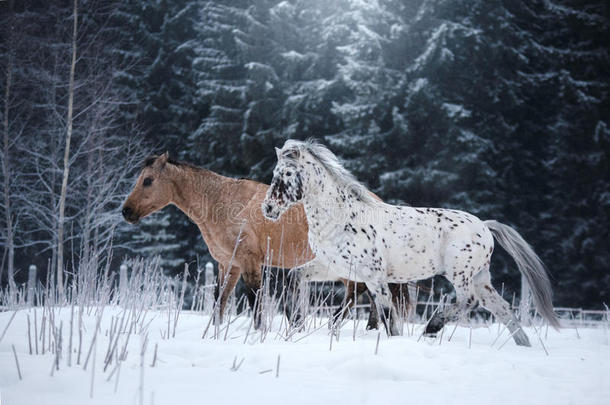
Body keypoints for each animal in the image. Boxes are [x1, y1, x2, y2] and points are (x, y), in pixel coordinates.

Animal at [121, 153, 408, 326]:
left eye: (148, 181)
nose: (126, 211)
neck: (223, 202)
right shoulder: (229, 265)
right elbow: (219, 302)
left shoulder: (250, 263)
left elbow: (255, 302)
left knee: (356, 294)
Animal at [262, 138, 556, 344]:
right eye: (275, 173)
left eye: (287, 174)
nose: (268, 208)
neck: (343, 217)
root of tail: (485, 226)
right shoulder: (334, 268)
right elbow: (295, 278)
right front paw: (296, 323)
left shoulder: (373, 277)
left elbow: (387, 314)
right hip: (481, 278)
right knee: (501, 308)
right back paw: (524, 346)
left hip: (461, 274)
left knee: (468, 302)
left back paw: (432, 328)